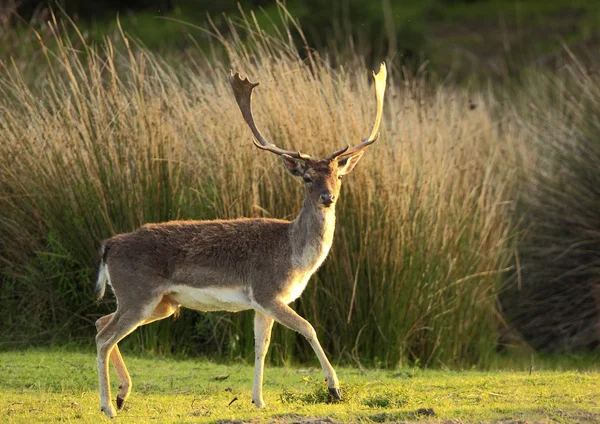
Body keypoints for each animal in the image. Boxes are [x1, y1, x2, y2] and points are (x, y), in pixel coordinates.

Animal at [92, 63, 386, 418]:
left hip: (161, 303)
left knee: (101, 321)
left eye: (339, 176)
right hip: (139, 293)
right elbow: (308, 328)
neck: (295, 257)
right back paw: (108, 406)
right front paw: (334, 389)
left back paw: (123, 395)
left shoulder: (264, 302)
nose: (327, 197)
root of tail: (108, 246)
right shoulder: (267, 290)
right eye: (307, 178)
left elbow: (261, 347)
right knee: (105, 337)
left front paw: (258, 399)